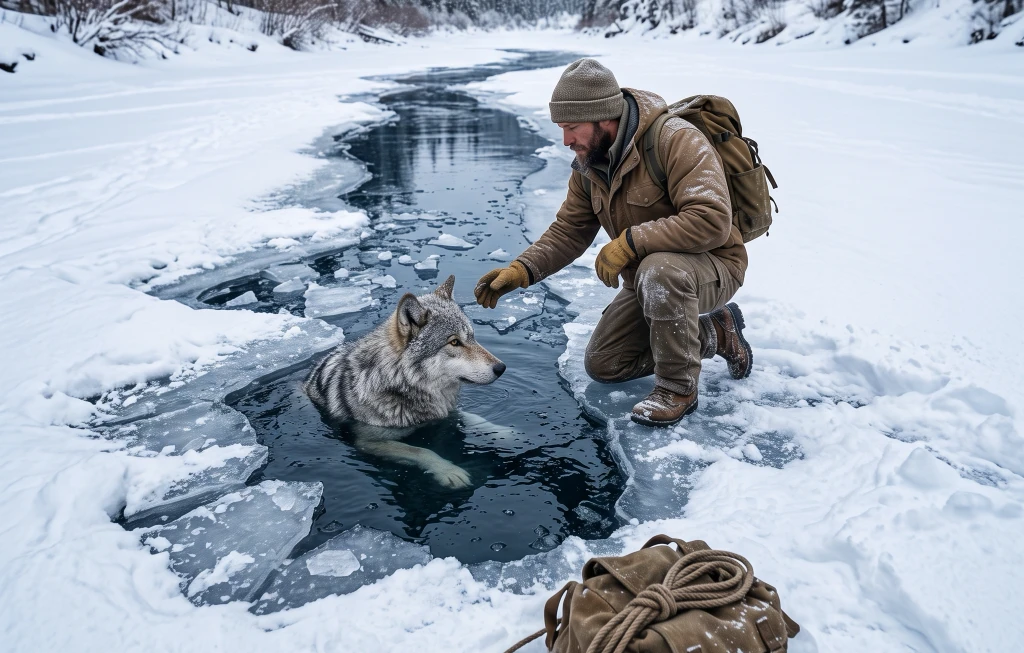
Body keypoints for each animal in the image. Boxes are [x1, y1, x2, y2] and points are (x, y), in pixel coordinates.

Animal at [304, 275, 507, 488]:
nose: (501, 368)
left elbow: (475, 418)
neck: (399, 382)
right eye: (454, 342)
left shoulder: (445, 411)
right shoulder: (369, 442)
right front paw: (450, 471)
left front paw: (504, 431)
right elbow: (422, 451)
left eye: (472, 337)